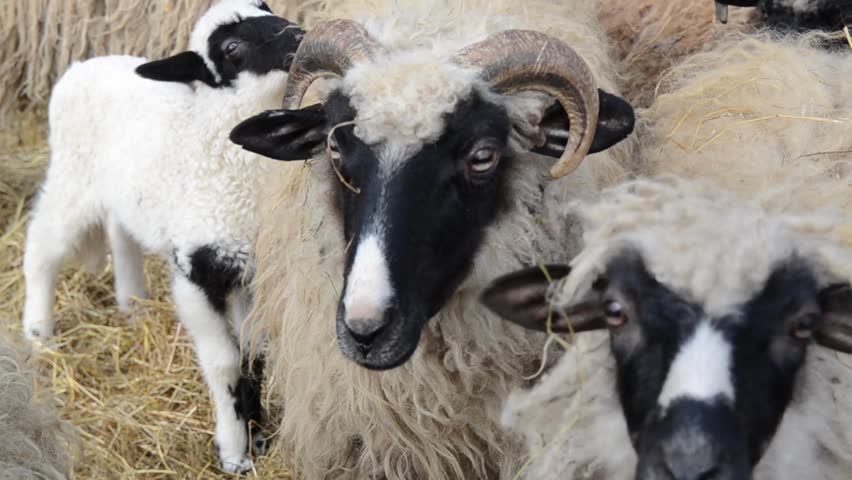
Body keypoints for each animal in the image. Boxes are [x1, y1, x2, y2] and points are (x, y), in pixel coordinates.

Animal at [19, 0, 306, 472]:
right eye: (231, 47)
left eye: (267, 9)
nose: (300, 35)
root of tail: (83, 65)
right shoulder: (195, 271)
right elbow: (225, 362)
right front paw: (233, 451)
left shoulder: (251, 268)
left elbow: (255, 354)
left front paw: (258, 436)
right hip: (73, 176)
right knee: (43, 244)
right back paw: (39, 331)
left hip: (124, 190)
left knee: (121, 234)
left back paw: (132, 305)